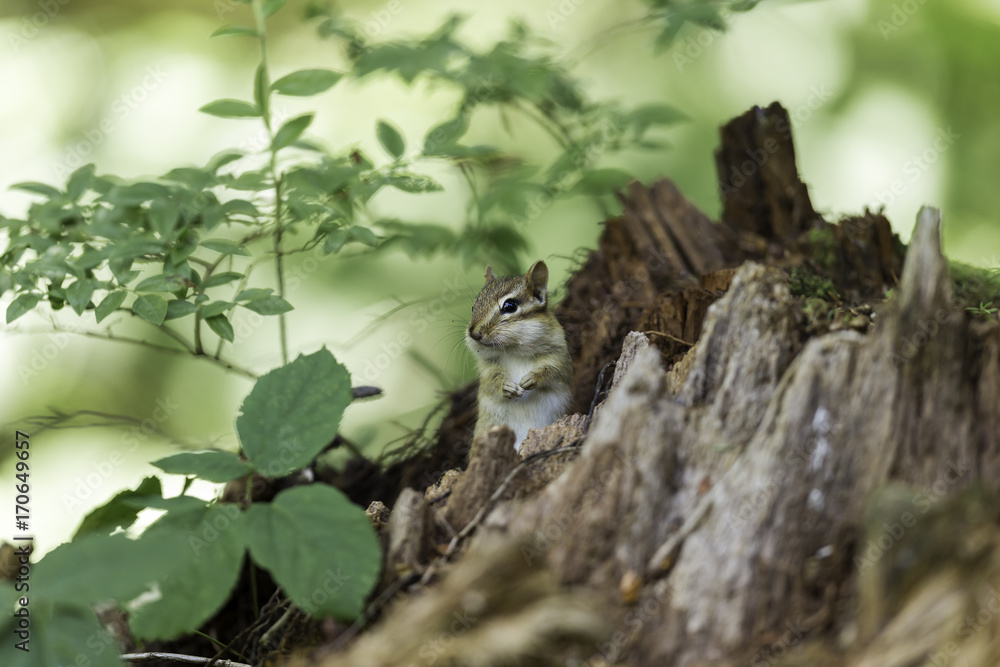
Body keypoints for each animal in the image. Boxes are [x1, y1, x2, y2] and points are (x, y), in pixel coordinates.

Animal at [466, 260, 573, 454]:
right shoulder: (488, 368)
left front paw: (532, 378)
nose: (474, 334)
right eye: (473, 306)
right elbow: (491, 381)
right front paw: (507, 387)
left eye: (510, 306)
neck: (513, 350)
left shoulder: (559, 356)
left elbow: (555, 371)